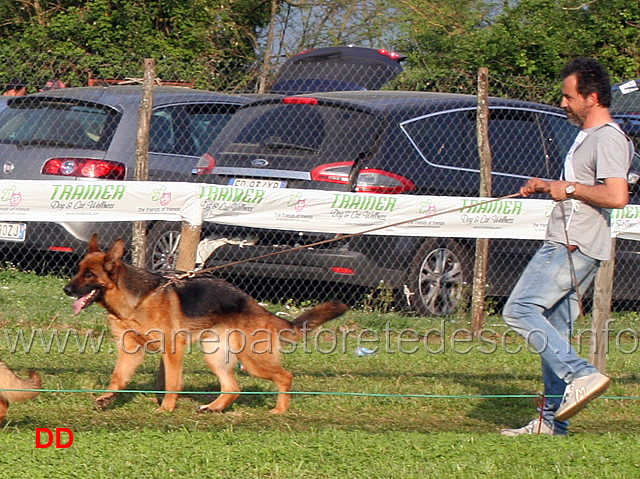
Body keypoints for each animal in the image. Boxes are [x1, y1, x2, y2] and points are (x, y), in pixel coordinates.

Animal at [62, 234, 348, 414]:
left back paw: (279, 410)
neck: (138, 299)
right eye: (78, 271)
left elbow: (171, 382)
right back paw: (214, 407)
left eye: (90, 275)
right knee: (233, 388)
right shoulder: (130, 350)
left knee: (285, 376)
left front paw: (166, 408)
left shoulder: (172, 350)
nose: (66, 289)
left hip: (252, 359)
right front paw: (107, 398)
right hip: (215, 355)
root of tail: (257, 307)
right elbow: (118, 377)